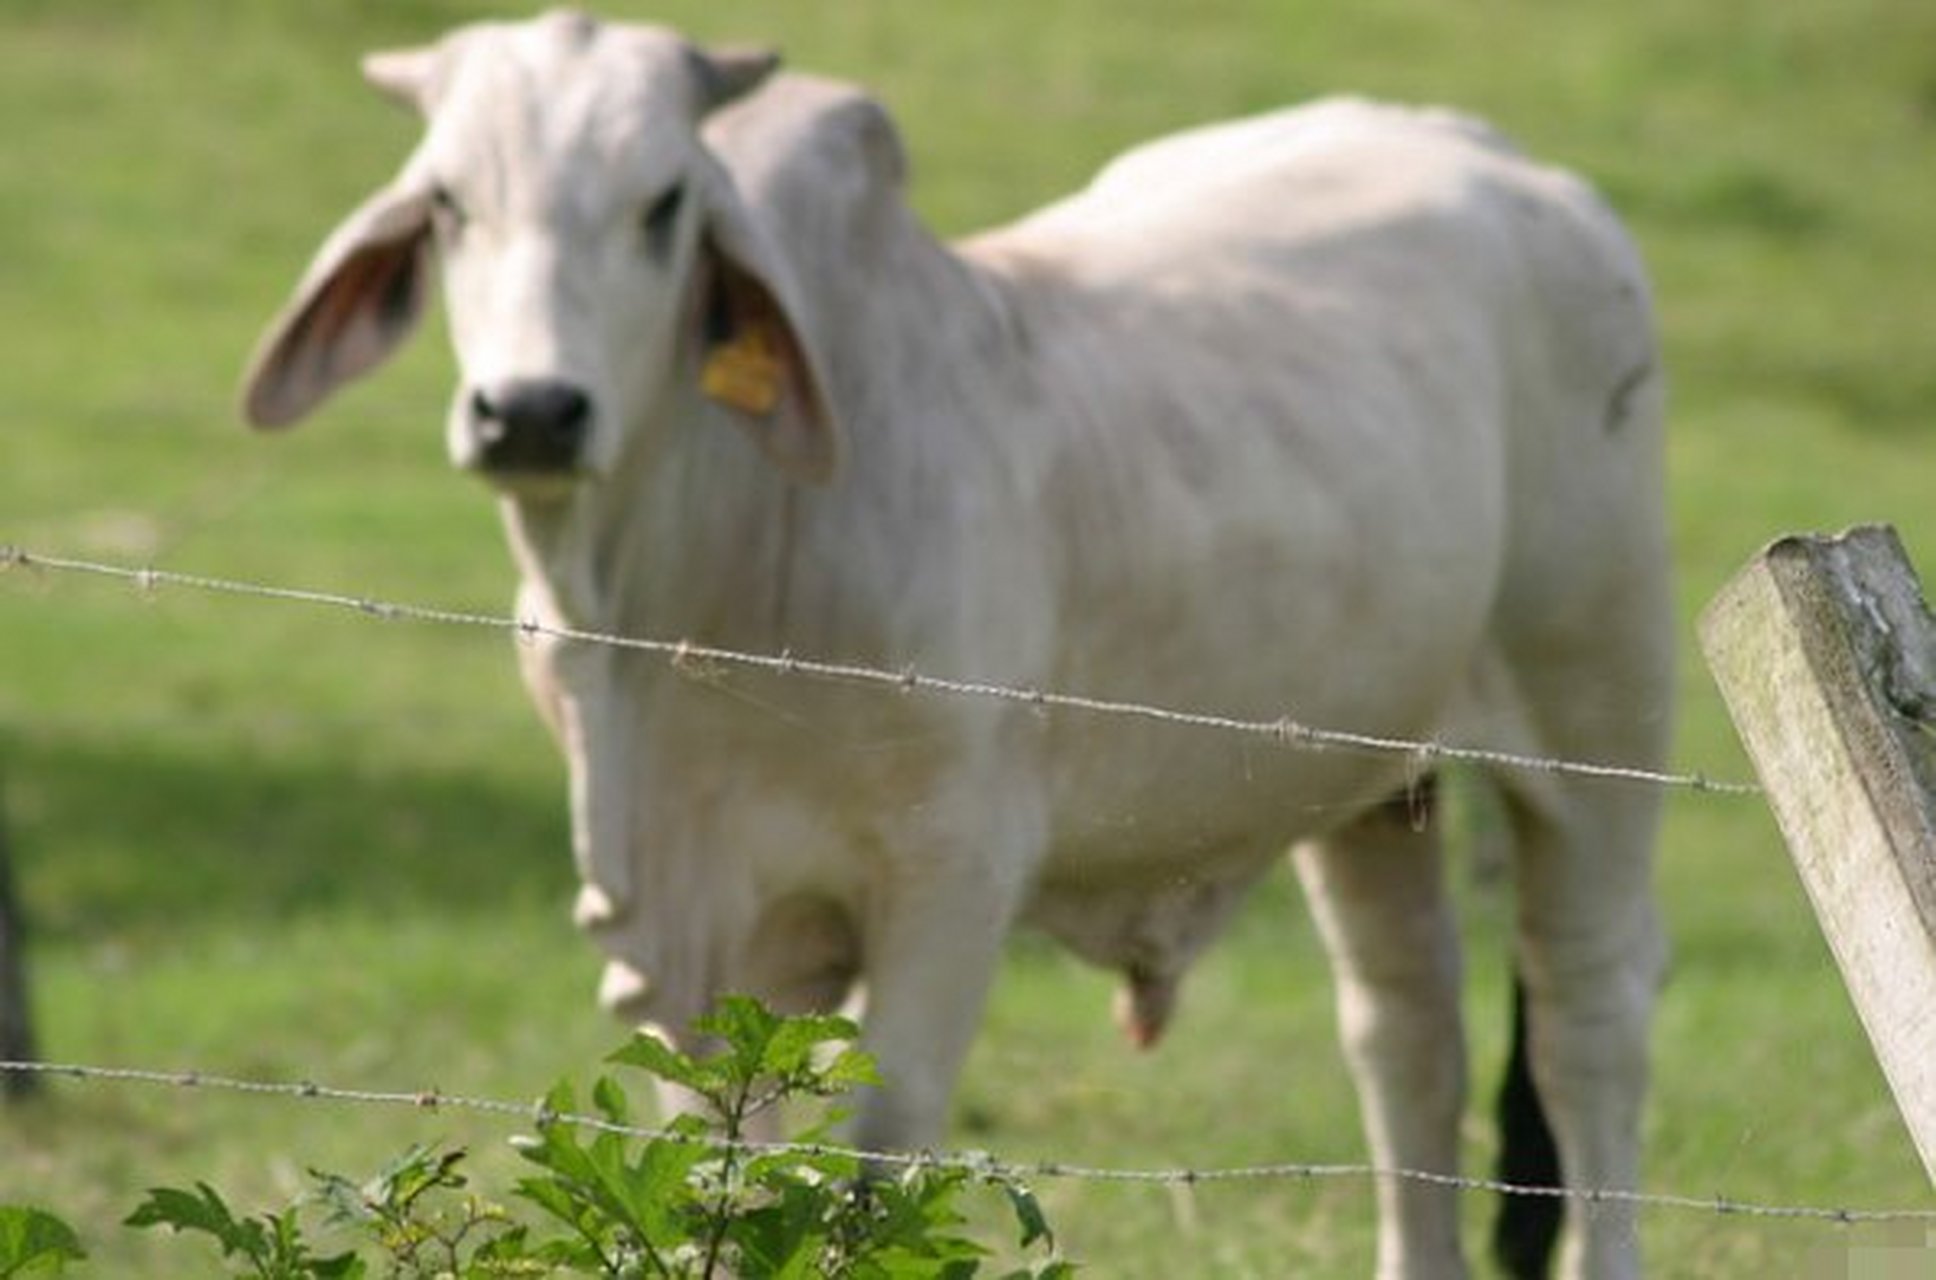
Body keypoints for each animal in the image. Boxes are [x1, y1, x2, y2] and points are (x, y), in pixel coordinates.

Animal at [242, 12, 1672, 1278]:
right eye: (446, 203)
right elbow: (727, 1173)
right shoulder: (684, 934)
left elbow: (872, 1166)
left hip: (1594, 709)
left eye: (663, 205)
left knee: (1587, 1016)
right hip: (1374, 783)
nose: (531, 411)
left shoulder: (951, 876)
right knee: (1403, 1028)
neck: (674, 604)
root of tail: (1505, 161)